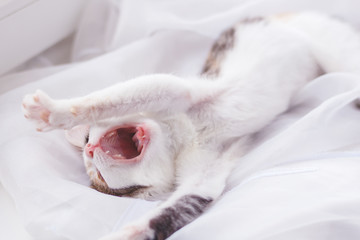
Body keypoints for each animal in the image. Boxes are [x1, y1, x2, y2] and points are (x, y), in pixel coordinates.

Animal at [21, 13, 360, 240]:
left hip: (324, 38)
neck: (182, 139)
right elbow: (187, 200)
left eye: (88, 141)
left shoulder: (178, 92)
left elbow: (124, 94)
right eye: (98, 175)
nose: (91, 148)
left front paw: (55, 111)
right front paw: (133, 231)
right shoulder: (206, 171)